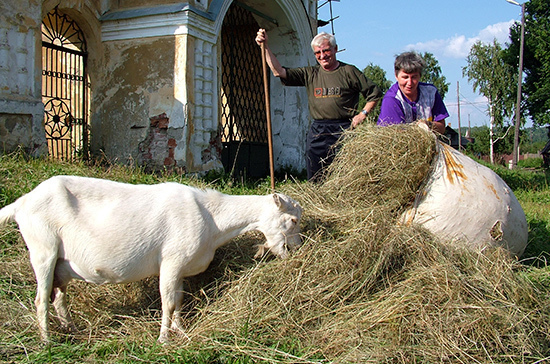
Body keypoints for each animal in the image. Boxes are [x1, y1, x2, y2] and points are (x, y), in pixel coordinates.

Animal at [0, 175, 302, 342]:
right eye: (292, 220)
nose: (298, 249)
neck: (212, 219)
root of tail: (21, 202)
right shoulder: (171, 261)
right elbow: (167, 302)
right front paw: (164, 339)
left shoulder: (180, 269)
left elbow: (178, 301)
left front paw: (180, 331)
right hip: (44, 250)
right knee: (41, 299)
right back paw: (47, 341)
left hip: (61, 264)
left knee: (59, 297)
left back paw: (72, 330)